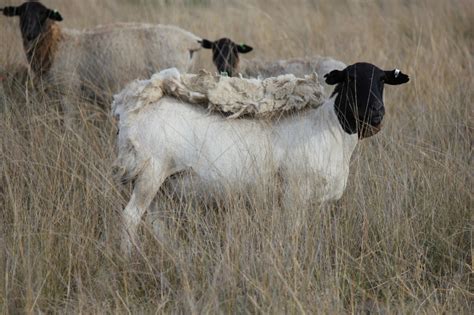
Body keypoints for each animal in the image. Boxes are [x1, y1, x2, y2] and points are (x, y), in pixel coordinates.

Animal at [1, 0, 202, 121]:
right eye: (21, 14)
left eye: (43, 15)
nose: (30, 34)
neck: (55, 45)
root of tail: (190, 40)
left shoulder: (68, 92)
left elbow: (68, 125)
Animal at [112, 62, 412, 254]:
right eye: (350, 79)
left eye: (382, 81)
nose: (377, 114)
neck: (332, 128)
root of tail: (130, 109)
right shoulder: (294, 194)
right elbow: (292, 235)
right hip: (150, 172)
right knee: (130, 218)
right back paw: (128, 259)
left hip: (162, 182)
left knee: (155, 222)